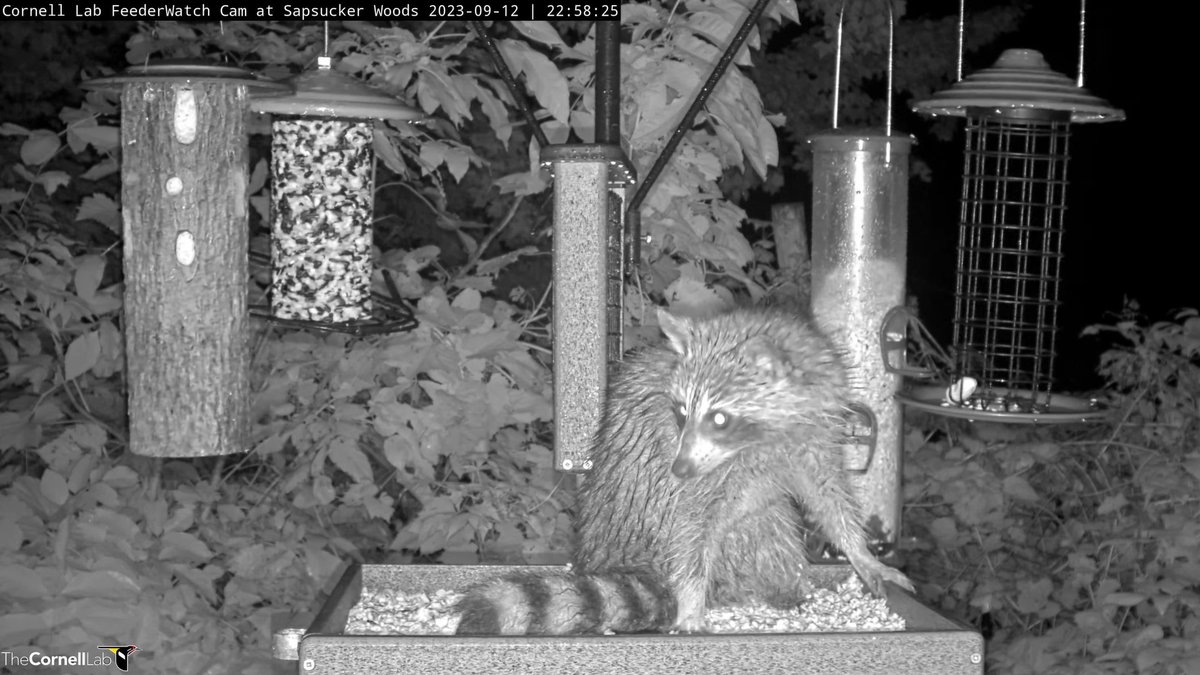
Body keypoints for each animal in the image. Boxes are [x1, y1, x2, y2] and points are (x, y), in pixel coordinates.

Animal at [455, 305, 912, 635]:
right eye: (679, 411)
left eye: (720, 418)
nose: (679, 468)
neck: (767, 437)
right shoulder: (701, 473)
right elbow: (691, 526)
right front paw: (691, 601)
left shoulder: (814, 440)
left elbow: (830, 495)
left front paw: (860, 552)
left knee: (772, 524)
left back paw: (785, 589)